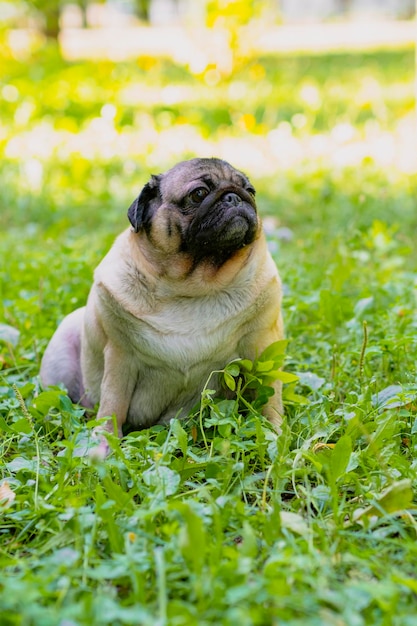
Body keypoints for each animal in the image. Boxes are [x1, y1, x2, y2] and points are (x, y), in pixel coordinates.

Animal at [40, 157, 282, 454]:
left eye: (250, 190)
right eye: (198, 193)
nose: (235, 196)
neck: (195, 286)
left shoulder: (262, 345)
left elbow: (270, 397)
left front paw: (275, 434)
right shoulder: (120, 357)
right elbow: (113, 405)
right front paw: (104, 444)